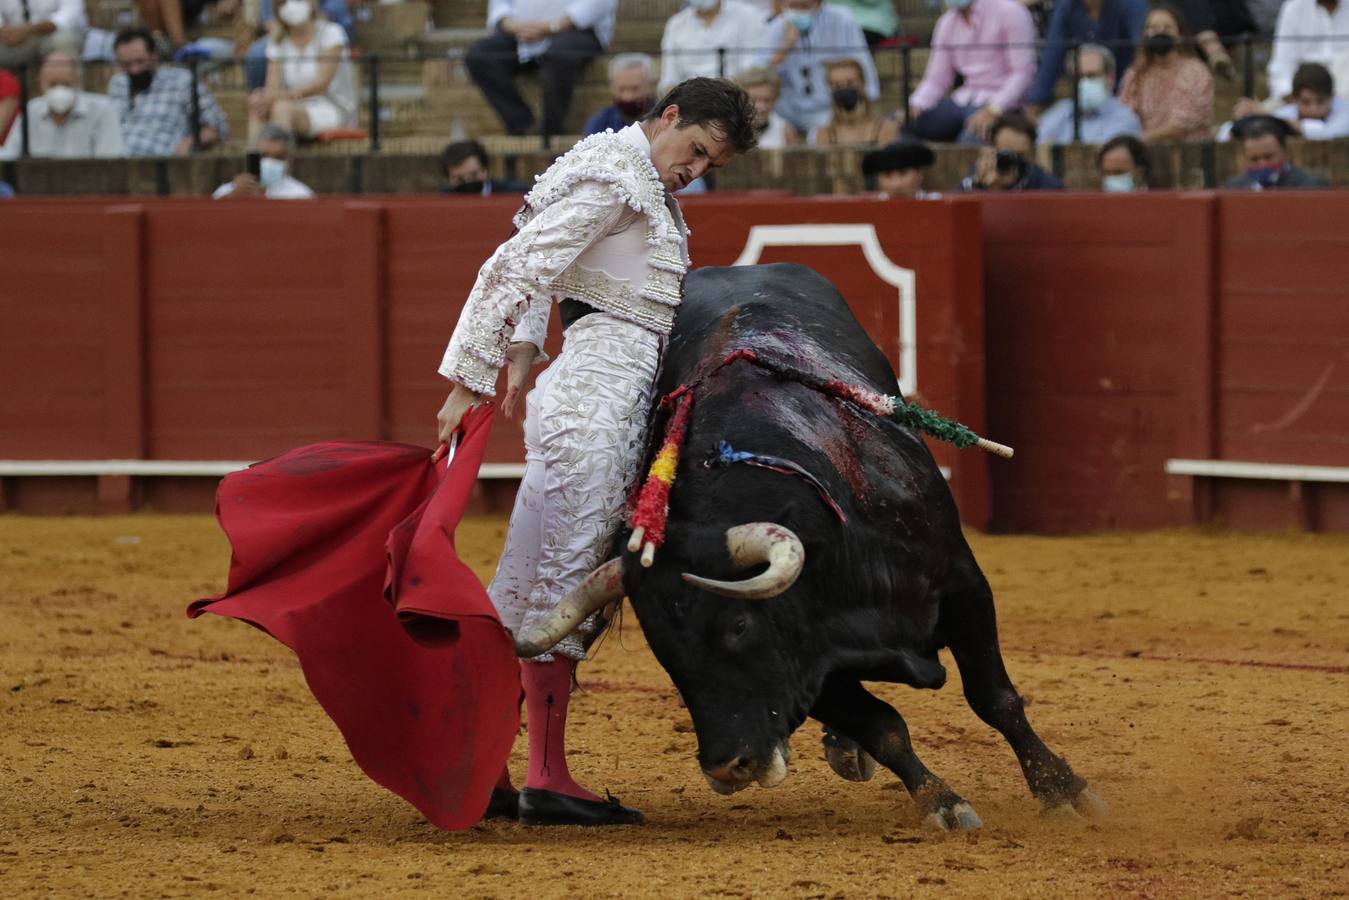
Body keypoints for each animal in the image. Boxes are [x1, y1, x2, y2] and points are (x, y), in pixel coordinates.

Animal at [523, 261, 1095, 831]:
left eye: (738, 625)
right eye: (662, 647)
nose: (726, 766)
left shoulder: (962, 583)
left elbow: (994, 698)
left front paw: (1062, 788)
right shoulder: (809, 661)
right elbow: (885, 728)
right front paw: (940, 801)